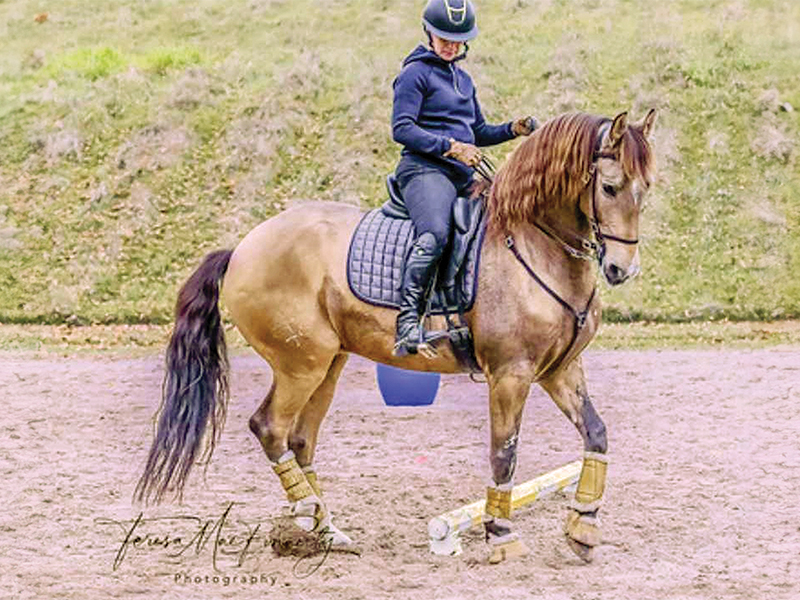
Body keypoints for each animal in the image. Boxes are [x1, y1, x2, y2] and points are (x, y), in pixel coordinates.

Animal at [135, 109, 657, 564]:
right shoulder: (510, 375)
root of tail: (242, 247)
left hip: (328, 364)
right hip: (300, 364)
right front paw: (502, 535)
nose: (621, 270)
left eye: (645, 189)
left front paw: (583, 527)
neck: (533, 245)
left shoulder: (559, 370)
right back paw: (308, 518)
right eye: (609, 187)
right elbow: (504, 453)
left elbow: (596, 433)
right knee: (270, 429)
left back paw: (326, 531)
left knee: (301, 440)